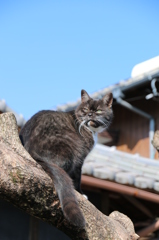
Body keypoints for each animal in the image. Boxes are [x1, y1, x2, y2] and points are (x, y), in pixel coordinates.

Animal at [19, 89, 113, 227]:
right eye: (85, 109)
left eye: (99, 111)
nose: (90, 114)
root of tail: (31, 151)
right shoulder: (81, 158)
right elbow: (78, 177)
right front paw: (81, 193)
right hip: (72, 148)